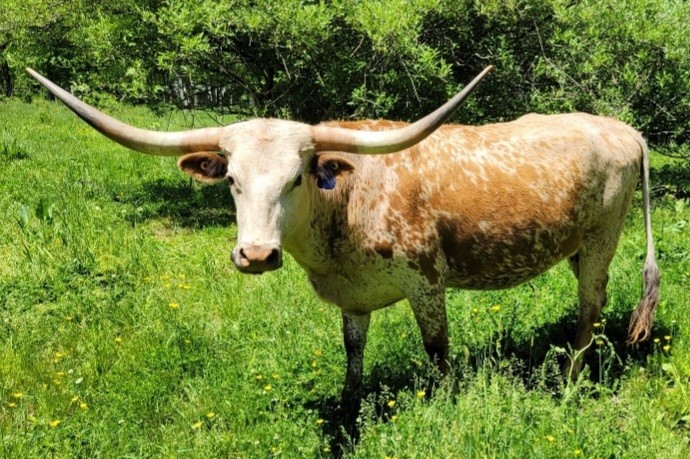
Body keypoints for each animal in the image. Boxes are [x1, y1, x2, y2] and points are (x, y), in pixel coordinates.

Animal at [27, 67, 659, 400]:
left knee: (590, 310)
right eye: (230, 180)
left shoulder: (427, 281)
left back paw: (571, 382)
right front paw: (351, 405)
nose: (256, 254)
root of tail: (623, 129)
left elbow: (437, 351)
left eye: (297, 177)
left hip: (602, 242)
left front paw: (447, 402)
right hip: (575, 244)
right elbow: (352, 354)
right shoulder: (352, 298)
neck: (347, 205)